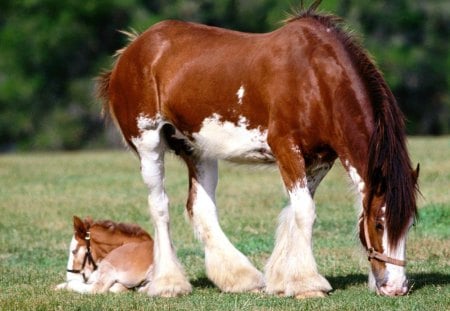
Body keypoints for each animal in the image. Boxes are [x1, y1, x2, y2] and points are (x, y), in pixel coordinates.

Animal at [96, 1, 420, 300]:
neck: (316, 78)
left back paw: (240, 278)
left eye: (409, 224)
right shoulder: (287, 149)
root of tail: (131, 50)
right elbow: (304, 212)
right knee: (159, 205)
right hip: (148, 143)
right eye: (379, 224)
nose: (396, 287)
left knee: (200, 207)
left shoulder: (320, 160)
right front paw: (308, 284)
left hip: (198, 150)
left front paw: (281, 279)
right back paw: (168, 284)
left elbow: (294, 211)